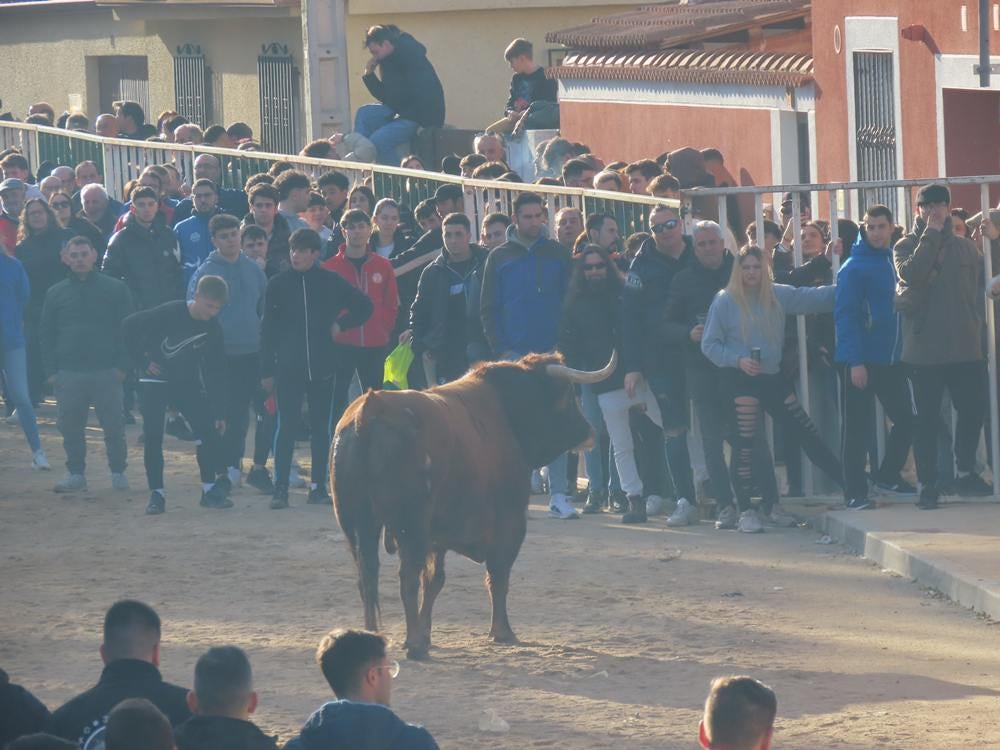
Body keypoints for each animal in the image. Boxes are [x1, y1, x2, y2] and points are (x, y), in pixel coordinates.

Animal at [328, 352, 612, 656]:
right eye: (569, 395)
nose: (591, 432)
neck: (507, 414)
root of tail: (368, 412)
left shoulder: (437, 536)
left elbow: (435, 580)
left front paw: (427, 633)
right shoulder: (509, 523)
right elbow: (498, 575)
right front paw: (502, 632)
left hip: (356, 525)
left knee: (367, 578)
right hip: (408, 525)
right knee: (406, 578)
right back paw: (415, 645)